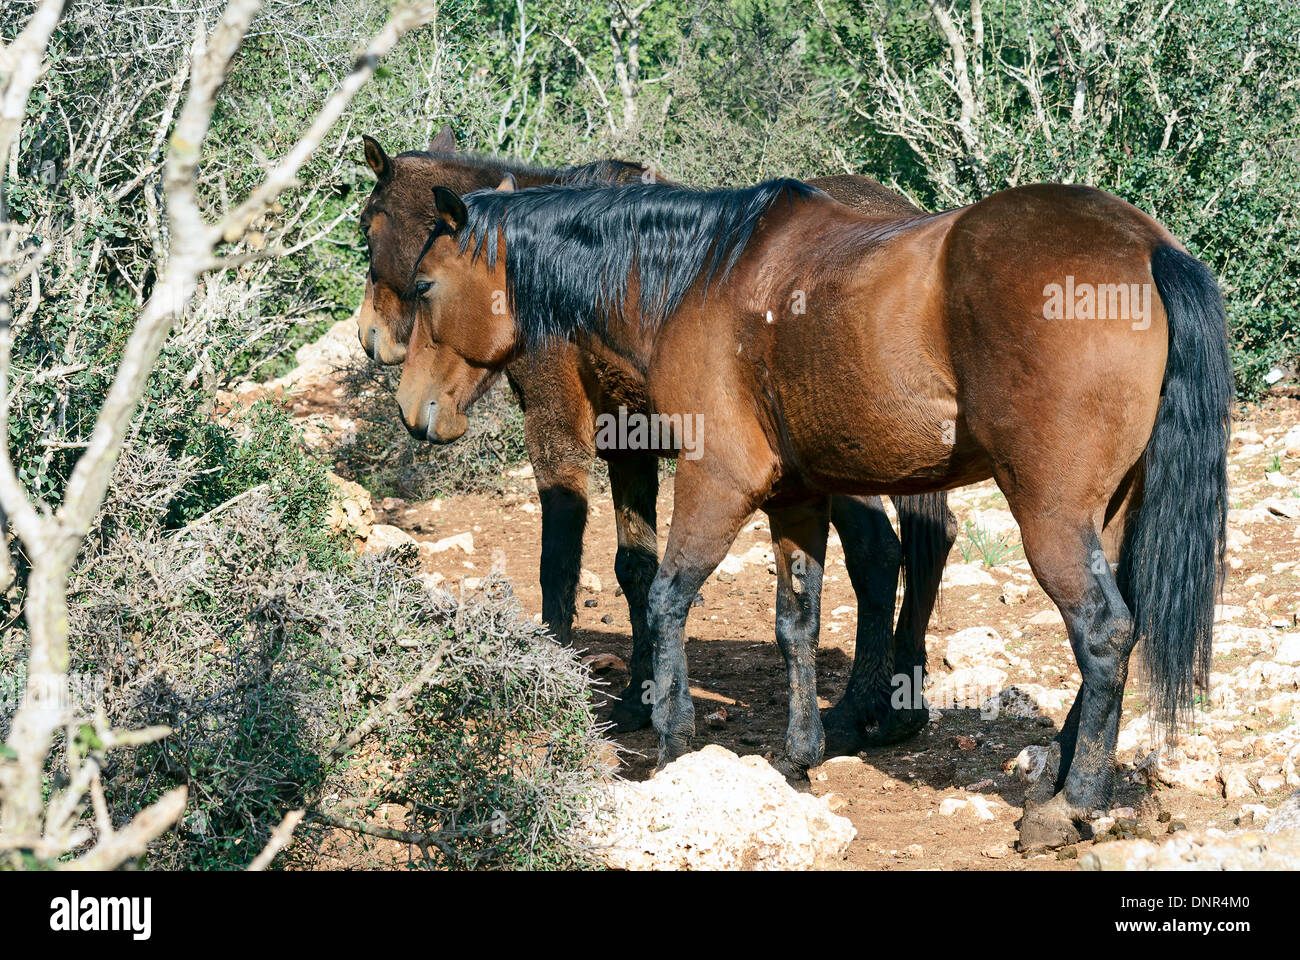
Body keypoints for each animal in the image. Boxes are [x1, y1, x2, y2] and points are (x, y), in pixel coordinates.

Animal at [356, 127, 956, 744]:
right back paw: (899, 709)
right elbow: (635, 568)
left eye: (367, 230)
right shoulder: (627, 446)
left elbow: (558, 562)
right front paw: (640, 699)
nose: (370, 337)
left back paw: (860, 711)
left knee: (878, 555)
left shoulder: (556, 432)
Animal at [395, 175, 1227, 848]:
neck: (696, 277)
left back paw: (1070, 804)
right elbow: (795, 620)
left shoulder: (716, 480)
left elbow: (666, 597)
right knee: (1115, 633)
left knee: (1103, 631)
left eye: (426, 286)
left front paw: (673, 739)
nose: (411, 408)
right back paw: (1057, 779)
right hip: (1108, 515)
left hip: (1050, 517)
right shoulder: (795, 499)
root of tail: (1146, 247)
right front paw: (800, 755)